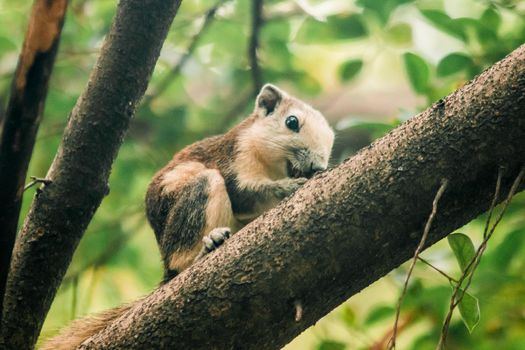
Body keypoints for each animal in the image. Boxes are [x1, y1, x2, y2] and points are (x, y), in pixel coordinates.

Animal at [43, 83, 334, 348]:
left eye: (332, 141)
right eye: (292, 122)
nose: (316, 165)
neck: (273, 167)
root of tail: (166, 269)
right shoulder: (235, 157)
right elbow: (244, 194)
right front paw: (290, 186)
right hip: (197, 196)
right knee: (182, 255)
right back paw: (204, 249)